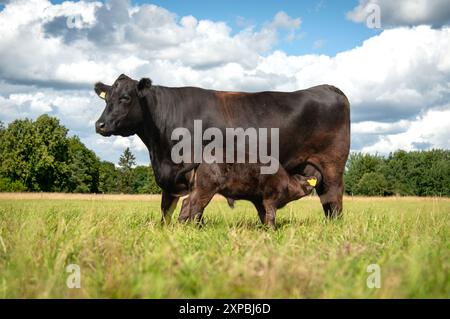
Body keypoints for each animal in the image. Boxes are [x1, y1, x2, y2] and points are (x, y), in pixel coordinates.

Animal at [94, 75, 348, 224]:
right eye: (106, 100)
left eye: (126, 98)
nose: (100, 125)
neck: (159, 150)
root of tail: (327, 87)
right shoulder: (169, 176)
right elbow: (166, 210)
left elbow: (194, 208)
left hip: (333, 165)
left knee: (334, 199)